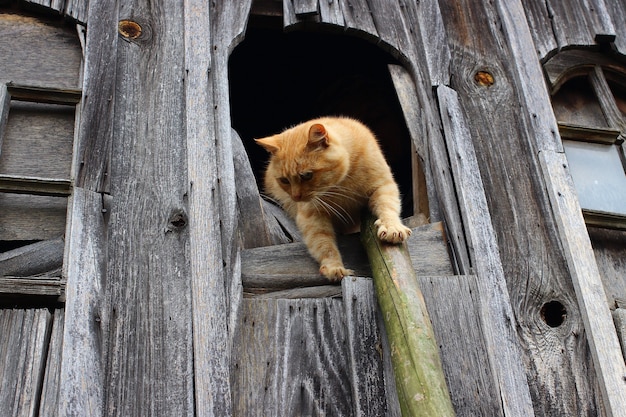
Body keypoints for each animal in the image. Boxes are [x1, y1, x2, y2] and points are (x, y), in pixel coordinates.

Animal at [254, 115, 410, 282]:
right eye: (284, 180)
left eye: (307, 175)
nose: (296, 197)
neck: (343, 183)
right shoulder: (312, 215)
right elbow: (323, 243)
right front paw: (334, 267)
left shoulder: (383, 186)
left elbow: (388, 207)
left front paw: (392, 228)